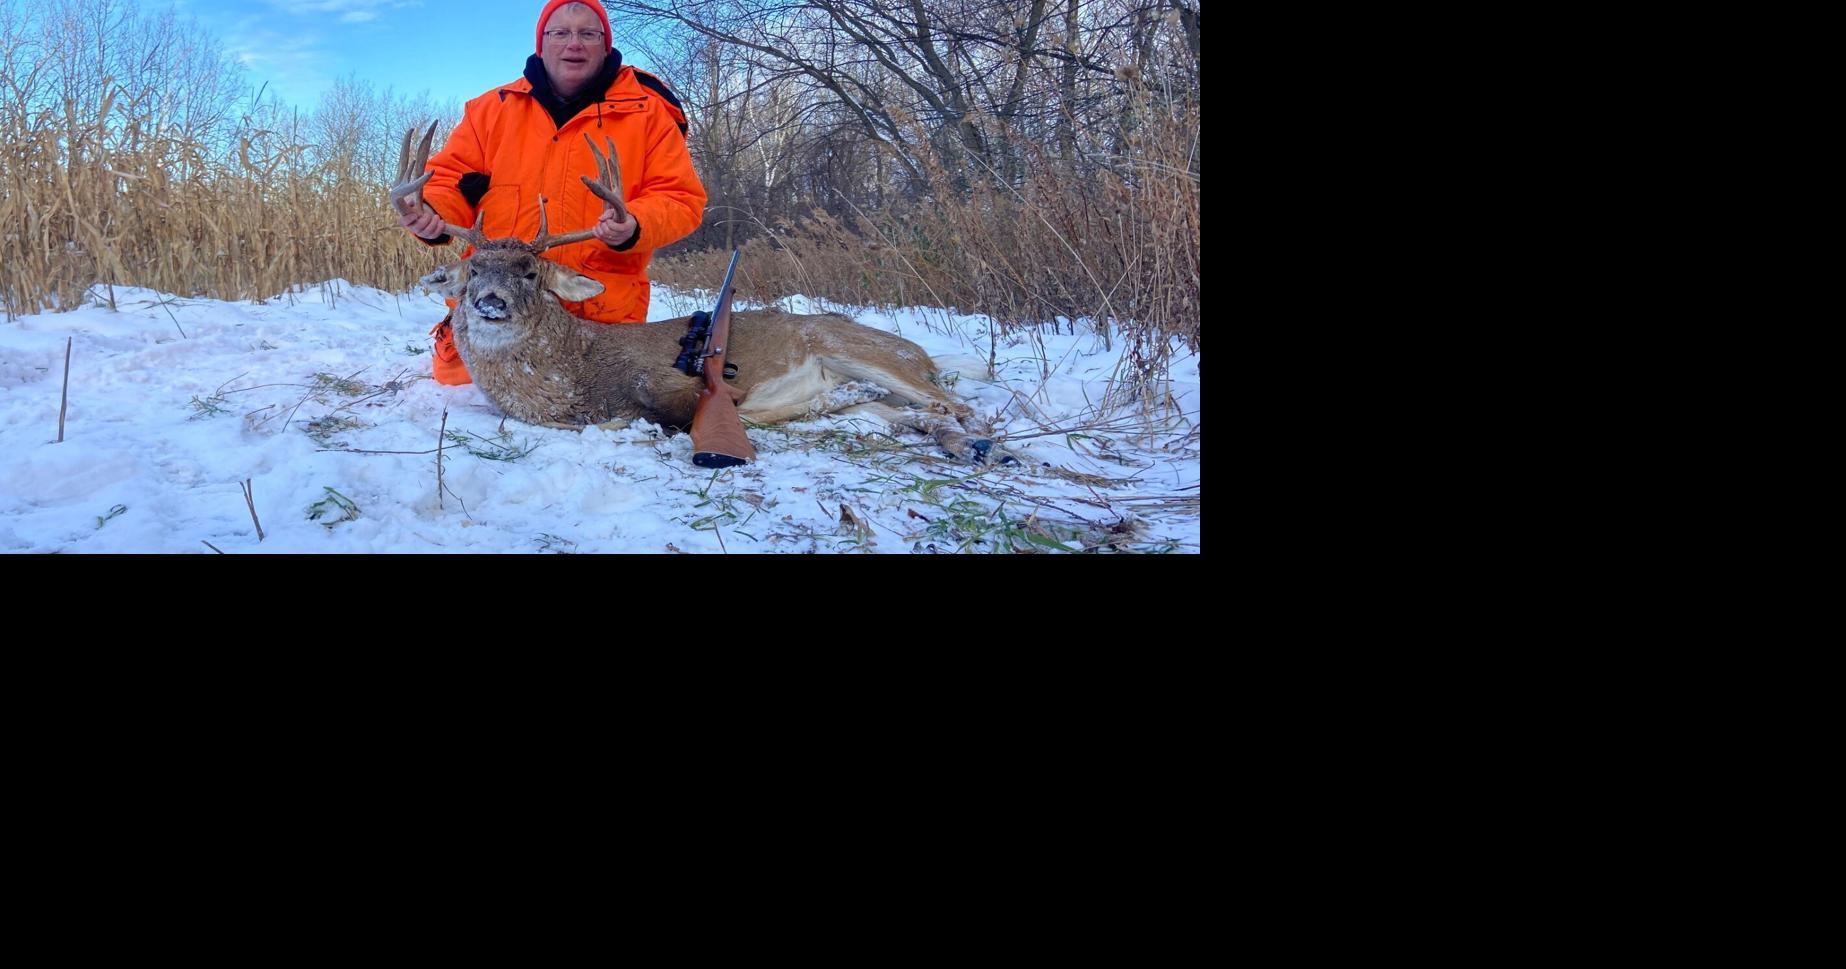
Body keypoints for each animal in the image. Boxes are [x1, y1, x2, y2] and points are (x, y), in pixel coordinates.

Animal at [389, 123, 1015, 464]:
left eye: (529, 271)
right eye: (473, 271)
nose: (489, 301)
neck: (570, 373)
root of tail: (925, 354)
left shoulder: (667, 384)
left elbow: (650, 416)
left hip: (855, 346)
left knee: (957, 405)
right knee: (913, 414)